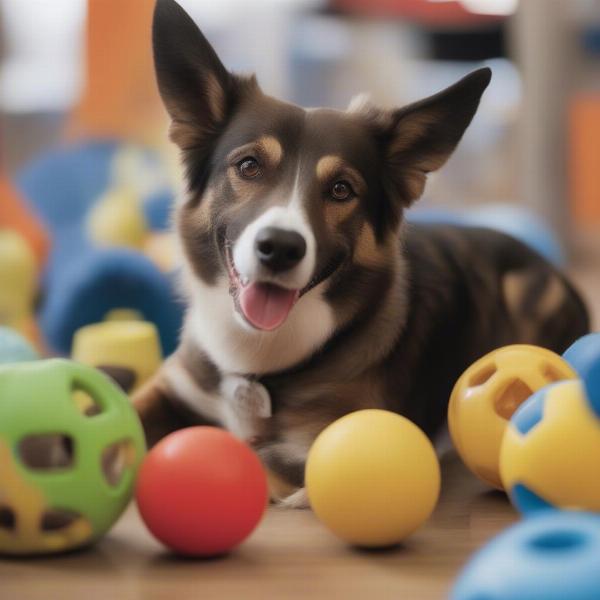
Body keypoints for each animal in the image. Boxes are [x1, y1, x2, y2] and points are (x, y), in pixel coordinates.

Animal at [134, 0, 588, 506]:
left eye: (341, 189)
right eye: (248, 165)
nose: (280, 248)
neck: (262, 367)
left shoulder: (318, 444)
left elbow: (253, 454)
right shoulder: (174, 386)